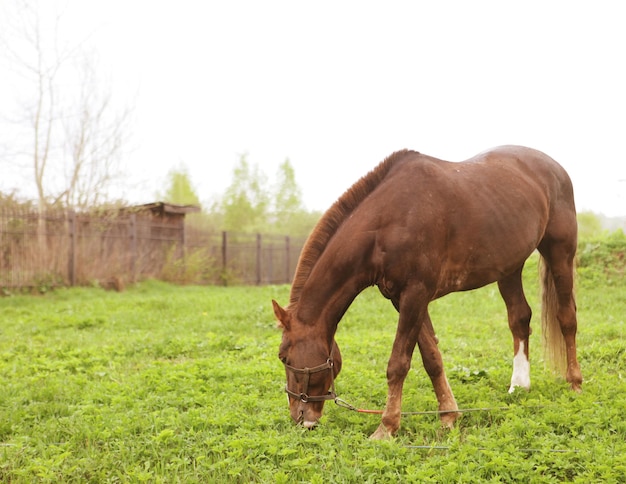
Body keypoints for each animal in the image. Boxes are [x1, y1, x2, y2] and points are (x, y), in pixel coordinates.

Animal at [272, 145, 580, 438]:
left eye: (284, 357)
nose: (300, 418)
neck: (389, 220)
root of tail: (556, 169)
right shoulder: (402, 299)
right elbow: (432, 358)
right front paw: (448, 416)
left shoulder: (416, 294)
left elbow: (398, 363)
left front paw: (386, 427)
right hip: (509, 268)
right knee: (519, 319)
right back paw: (519, 385)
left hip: (560, 253)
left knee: (567, 317)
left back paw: (574, 383)